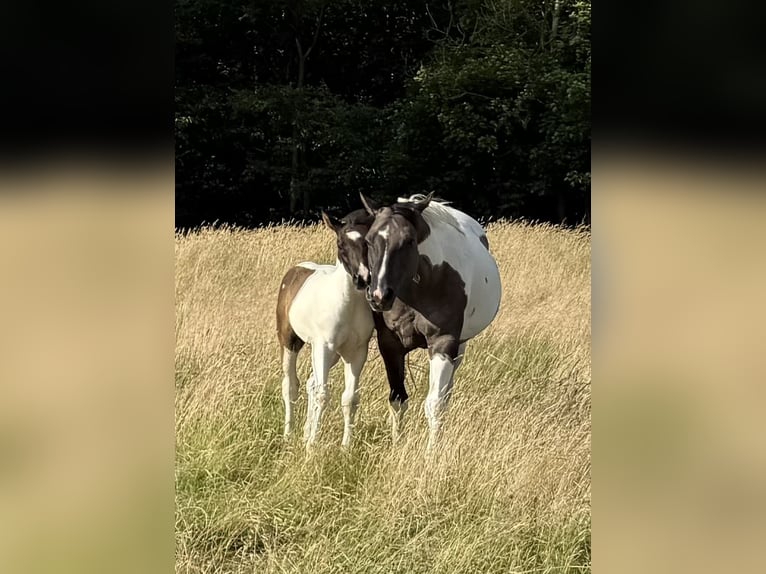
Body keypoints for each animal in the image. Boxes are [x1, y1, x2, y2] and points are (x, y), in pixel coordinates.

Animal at [275, 209, 375, 447]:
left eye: (368, 242)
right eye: (340, 243)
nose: (362, 278)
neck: (348, 303)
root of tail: (297, 268)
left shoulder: (357, 352)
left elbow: (350, 398)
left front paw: (346, 446)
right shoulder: (323, 346)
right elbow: (323, 394)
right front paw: (312, 446)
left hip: (333, 354)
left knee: (311, 382)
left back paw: (304, 432)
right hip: (291, 341)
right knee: (290, 385)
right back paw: (289, 434)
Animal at [355, 193, 502, 448]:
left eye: (409, 241)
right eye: (370, 240)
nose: (379, 296)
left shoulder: (443, 343)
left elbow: (435, 404)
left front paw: (432, 452)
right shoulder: (390, 345)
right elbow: (397, 399)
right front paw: (396, 444)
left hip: (460, 346)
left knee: (446, 393)